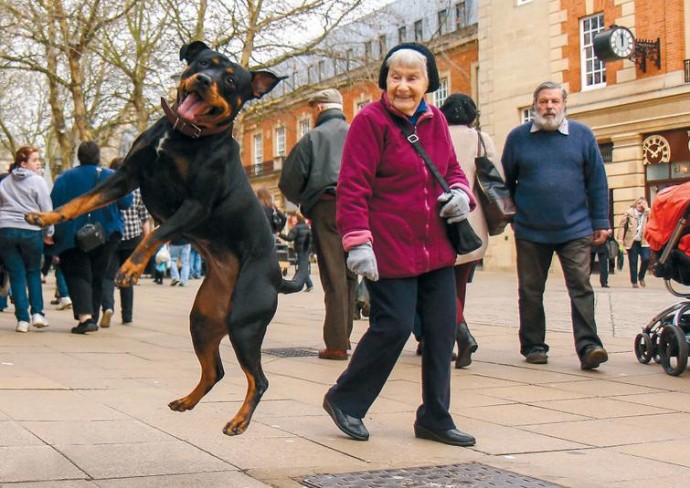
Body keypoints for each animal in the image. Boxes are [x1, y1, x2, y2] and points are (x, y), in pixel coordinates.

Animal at [26, 42, 306, 436]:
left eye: (230, 80)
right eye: (203, 63)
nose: (203, 80)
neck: (182, 136)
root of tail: (277, 277)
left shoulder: (194, 206)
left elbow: (157, 233)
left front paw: (129, 269)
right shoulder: (126, 177)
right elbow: (79, 202)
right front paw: (45, 217)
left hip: (244, 323)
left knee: (259, 380)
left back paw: (239, 421)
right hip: (202, 321)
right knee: (215, 371)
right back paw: (186, 402)